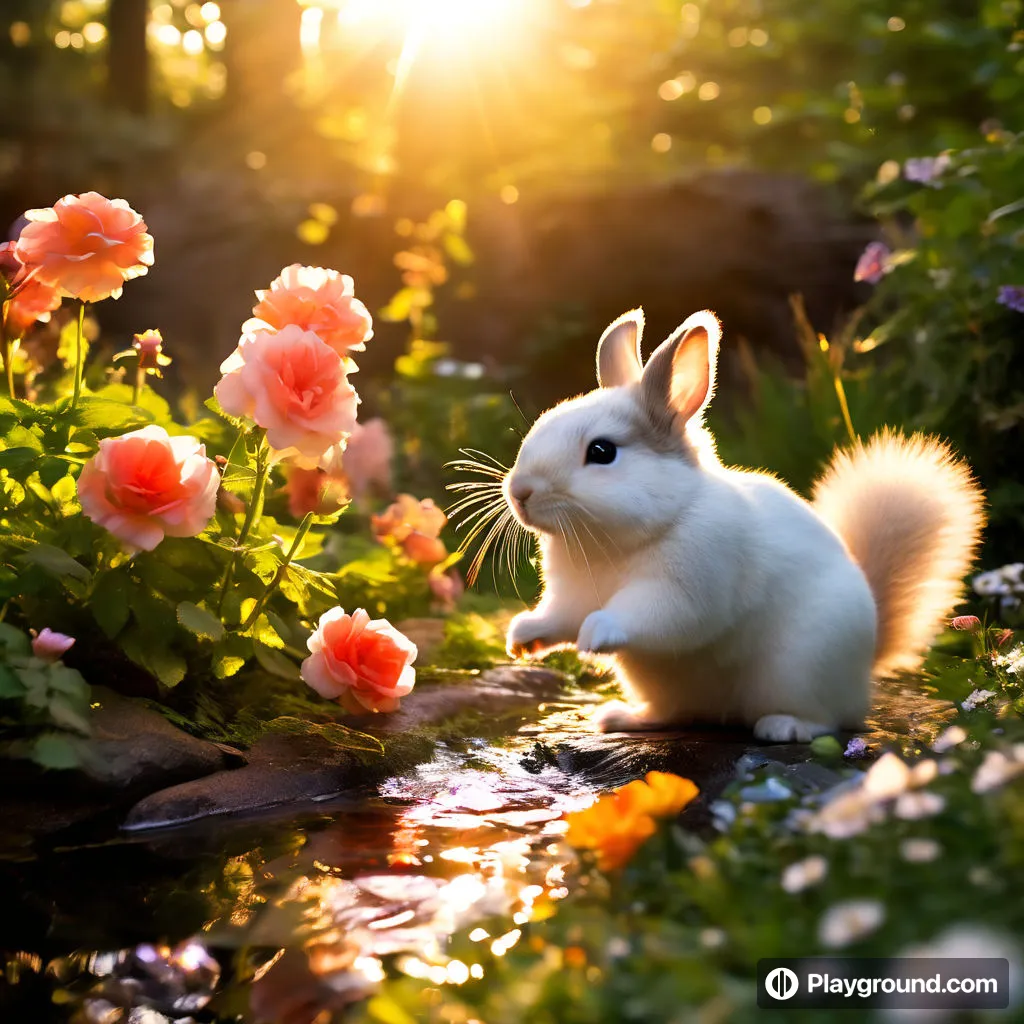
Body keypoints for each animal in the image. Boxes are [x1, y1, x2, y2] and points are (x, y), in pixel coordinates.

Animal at [503, 307, 983, 741]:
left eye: (602, 452)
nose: (520, 491)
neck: (614, 542)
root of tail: (867, 663)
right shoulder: (570, 598)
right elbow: (557, 619)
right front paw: (521, 638)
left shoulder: (683, 595)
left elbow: (641, 615)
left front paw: (595, 633)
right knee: (676, 714)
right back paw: (623, 717)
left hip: (797, 672)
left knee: (827, 721)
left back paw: (783, 727)